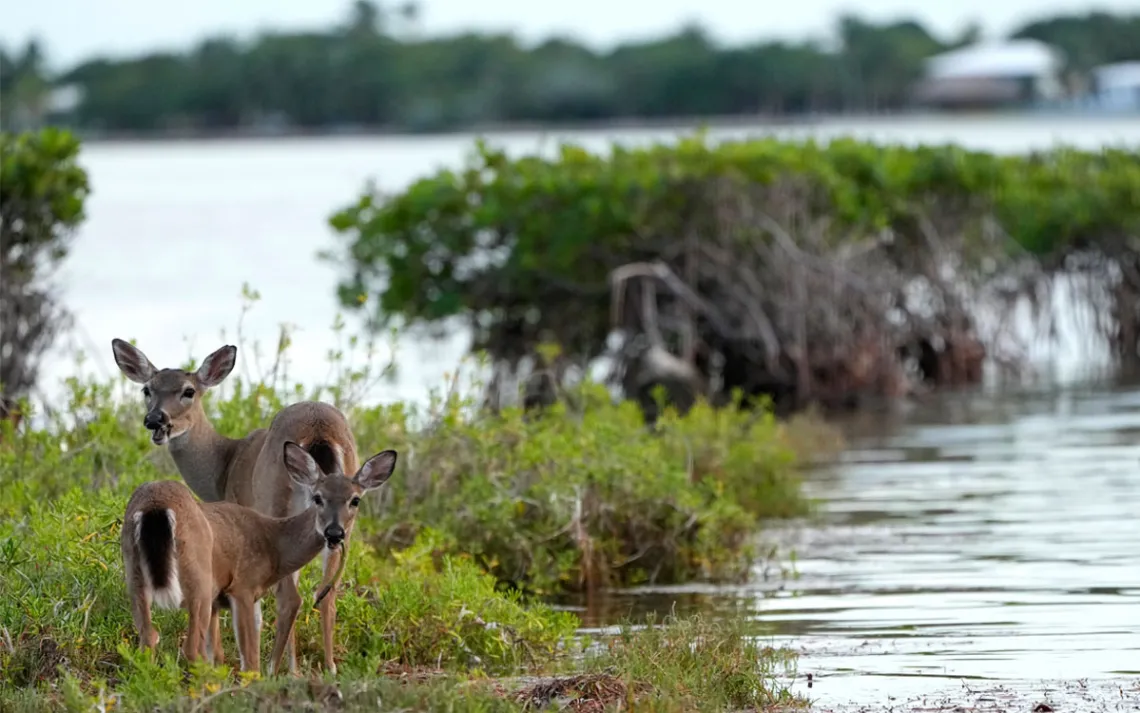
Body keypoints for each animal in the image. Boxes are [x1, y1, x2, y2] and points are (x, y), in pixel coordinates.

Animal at [111, 337, 362, 675]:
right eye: (147, 389)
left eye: (189, 391)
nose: (155, 421)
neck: (225, 465)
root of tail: (319, 429)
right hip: (343, 520)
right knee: (327, 591)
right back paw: (328, 667)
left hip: (276, 501)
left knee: (290, 597)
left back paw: (278, 669)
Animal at [121, 441, 397, 673]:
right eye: (318, 497)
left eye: (355, 500)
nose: (334, 533)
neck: (273, 545)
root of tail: (156, 508)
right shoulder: (242, 587)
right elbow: (250, 661)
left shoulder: (220, 600)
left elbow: (218, 654)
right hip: (198, 578)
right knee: (191, 648)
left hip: (134, 573)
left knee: (149, 637)